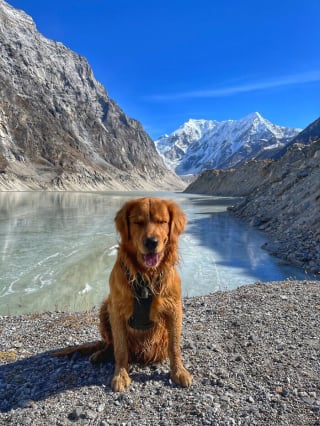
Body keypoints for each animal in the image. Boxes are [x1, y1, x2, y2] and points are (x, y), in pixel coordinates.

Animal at [53, 198, 192, 392]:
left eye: (162, 222)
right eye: (138, 222)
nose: (151, 242)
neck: (146, 275)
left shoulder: (174, 307)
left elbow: (174, 346)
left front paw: (179, 371)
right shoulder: (116, 310)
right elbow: (120, 348)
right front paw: (120, 375)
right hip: (104, 308)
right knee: (110, 344)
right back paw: (100, 354)